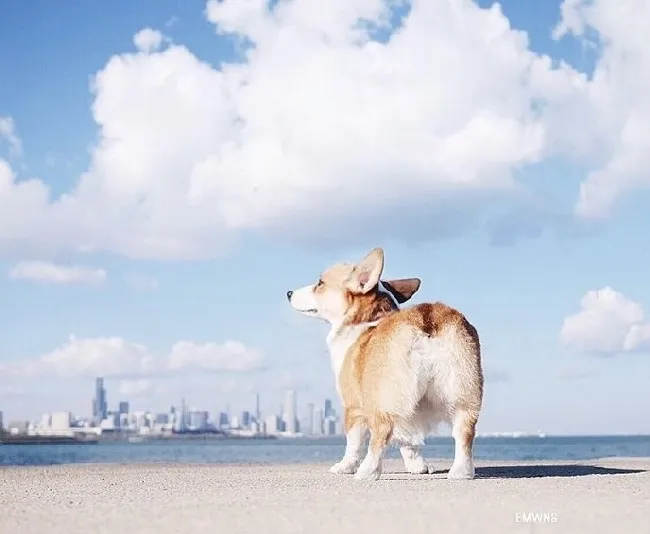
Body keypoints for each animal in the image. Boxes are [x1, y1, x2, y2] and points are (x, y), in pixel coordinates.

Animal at [284, 249, 480, 484]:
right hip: (462, 392)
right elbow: (409, 442)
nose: (288, 292)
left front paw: (344, 467)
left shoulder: (353, 406)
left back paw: (367, 472)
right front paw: (418, 467)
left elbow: (354, 443)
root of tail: (425, 318)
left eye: (320, 283)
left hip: (383, 397)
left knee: (382, 431)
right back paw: (461, 472)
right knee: (464, 432)